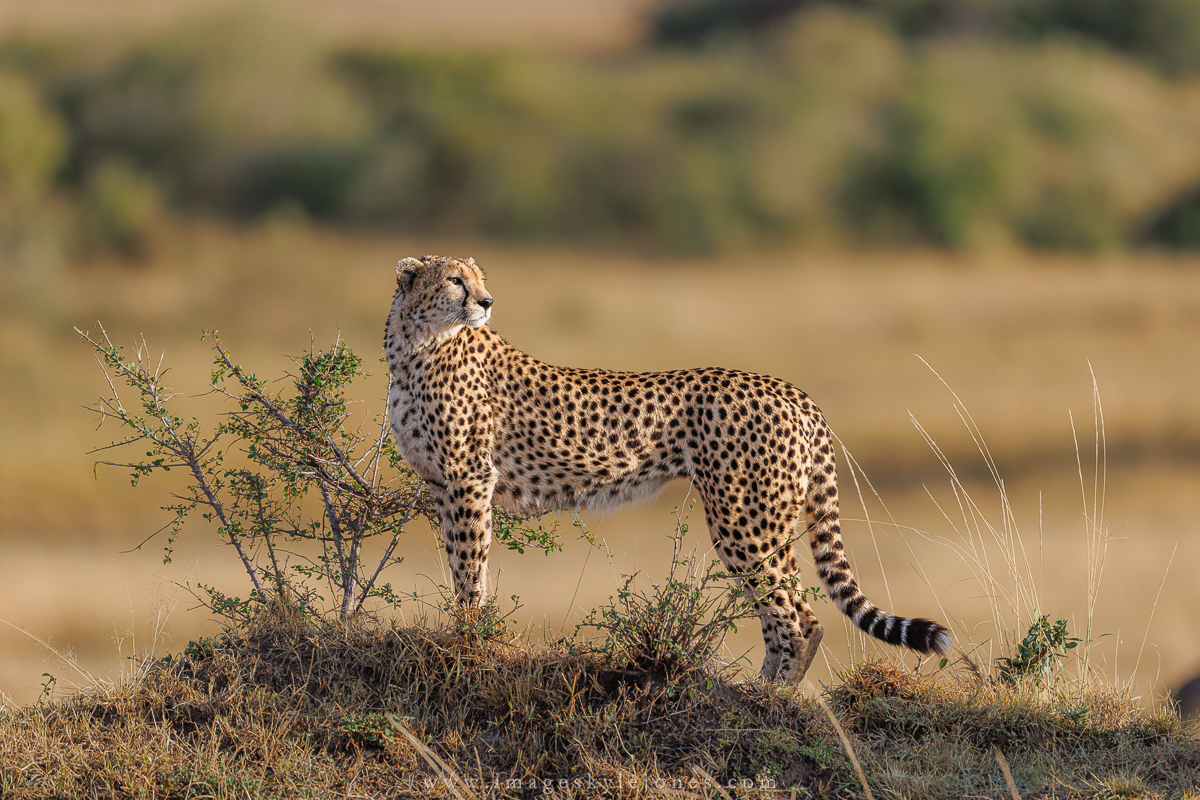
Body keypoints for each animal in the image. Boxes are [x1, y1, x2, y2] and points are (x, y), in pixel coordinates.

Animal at [384, 254, 951, 683]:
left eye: (479, 279)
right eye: (455, 280)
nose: (485, 302)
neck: (416, 346)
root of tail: (791, 389)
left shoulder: (469, 479)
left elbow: (469, 567)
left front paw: (466, 641)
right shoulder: (443, 484)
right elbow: (462, 562)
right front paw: (466, 632)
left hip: (744, 520)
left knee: (798, 618)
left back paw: (770, 698)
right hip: (761, 520)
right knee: (783, 613)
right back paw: (760, 689)